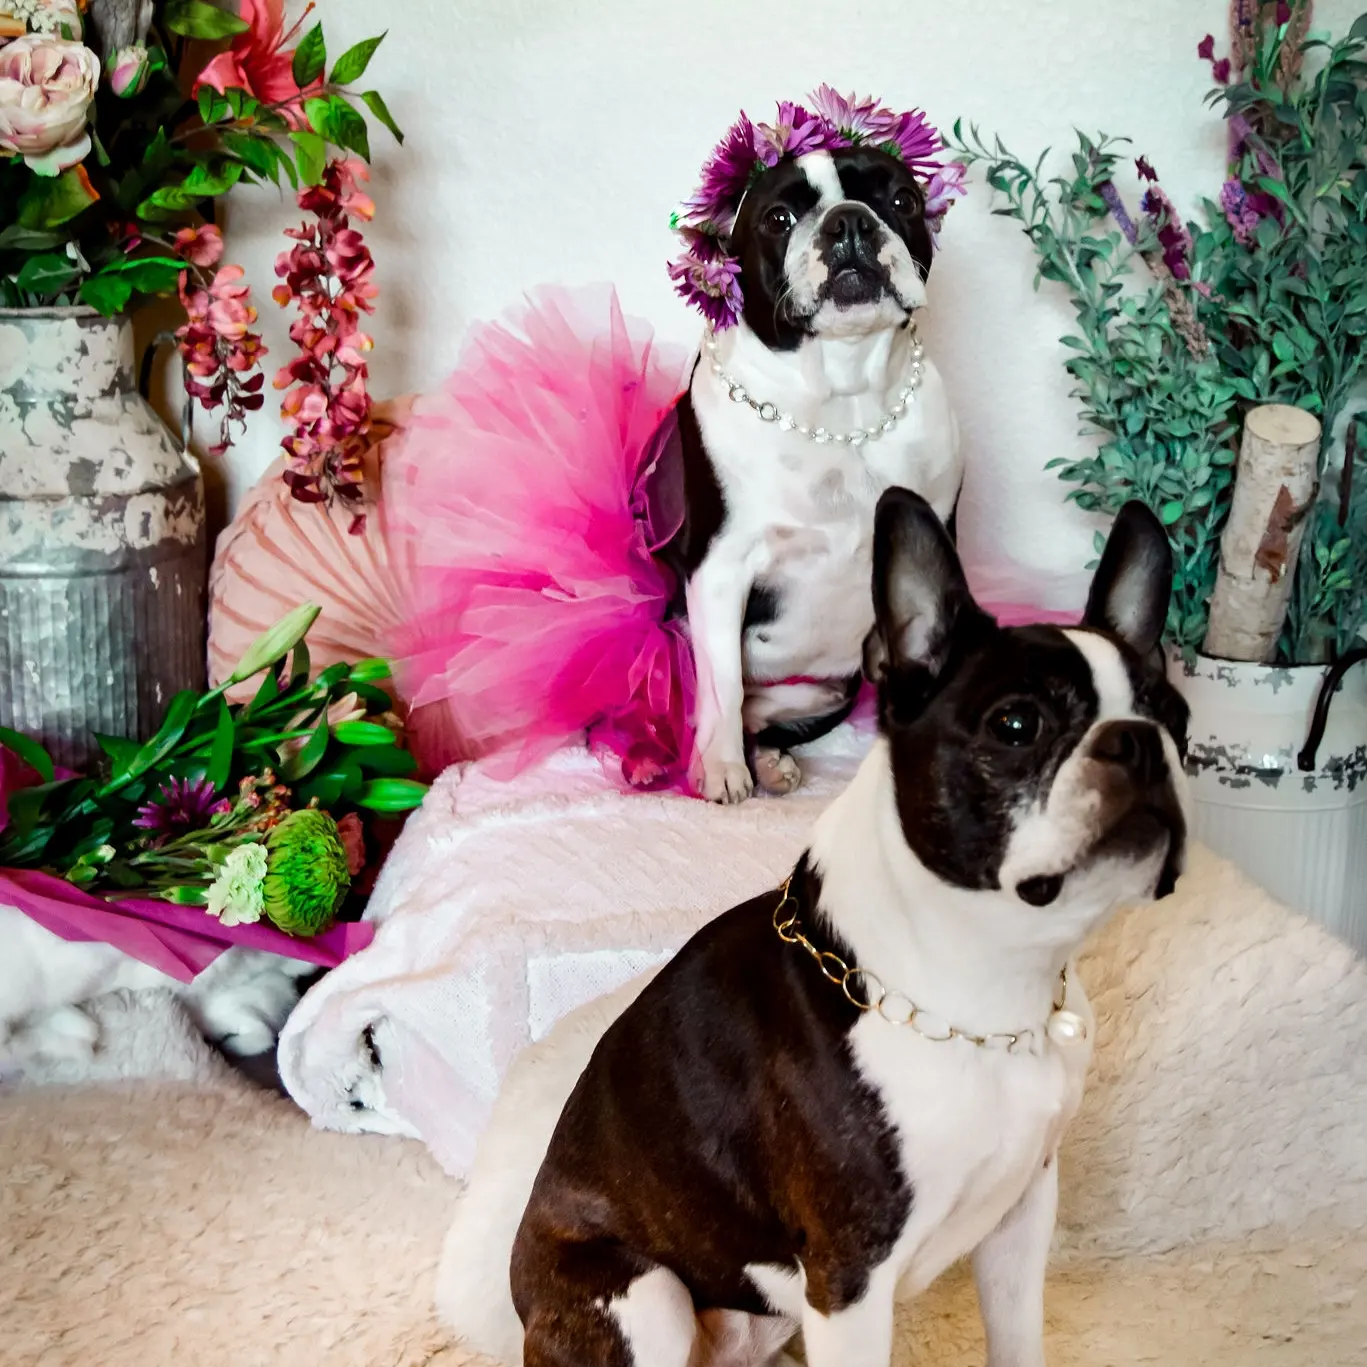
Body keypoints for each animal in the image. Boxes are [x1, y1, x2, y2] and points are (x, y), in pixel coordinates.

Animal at [439, 491, 1190, 1367]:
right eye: (1015, 724)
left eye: (1176, 717)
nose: (1140, 742)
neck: (989, 992)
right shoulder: (850, 1275)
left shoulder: (1020, 1213)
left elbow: (1017, 1342)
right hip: (645, 1297)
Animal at [663, 145, 962, 804]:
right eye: (778, 218)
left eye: (902, 200)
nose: (849, 222)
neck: (844, 402)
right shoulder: (720, 567)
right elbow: (722, 679)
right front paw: (720, 767)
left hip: (830, 690)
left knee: (769, 719)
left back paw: (772, 759)